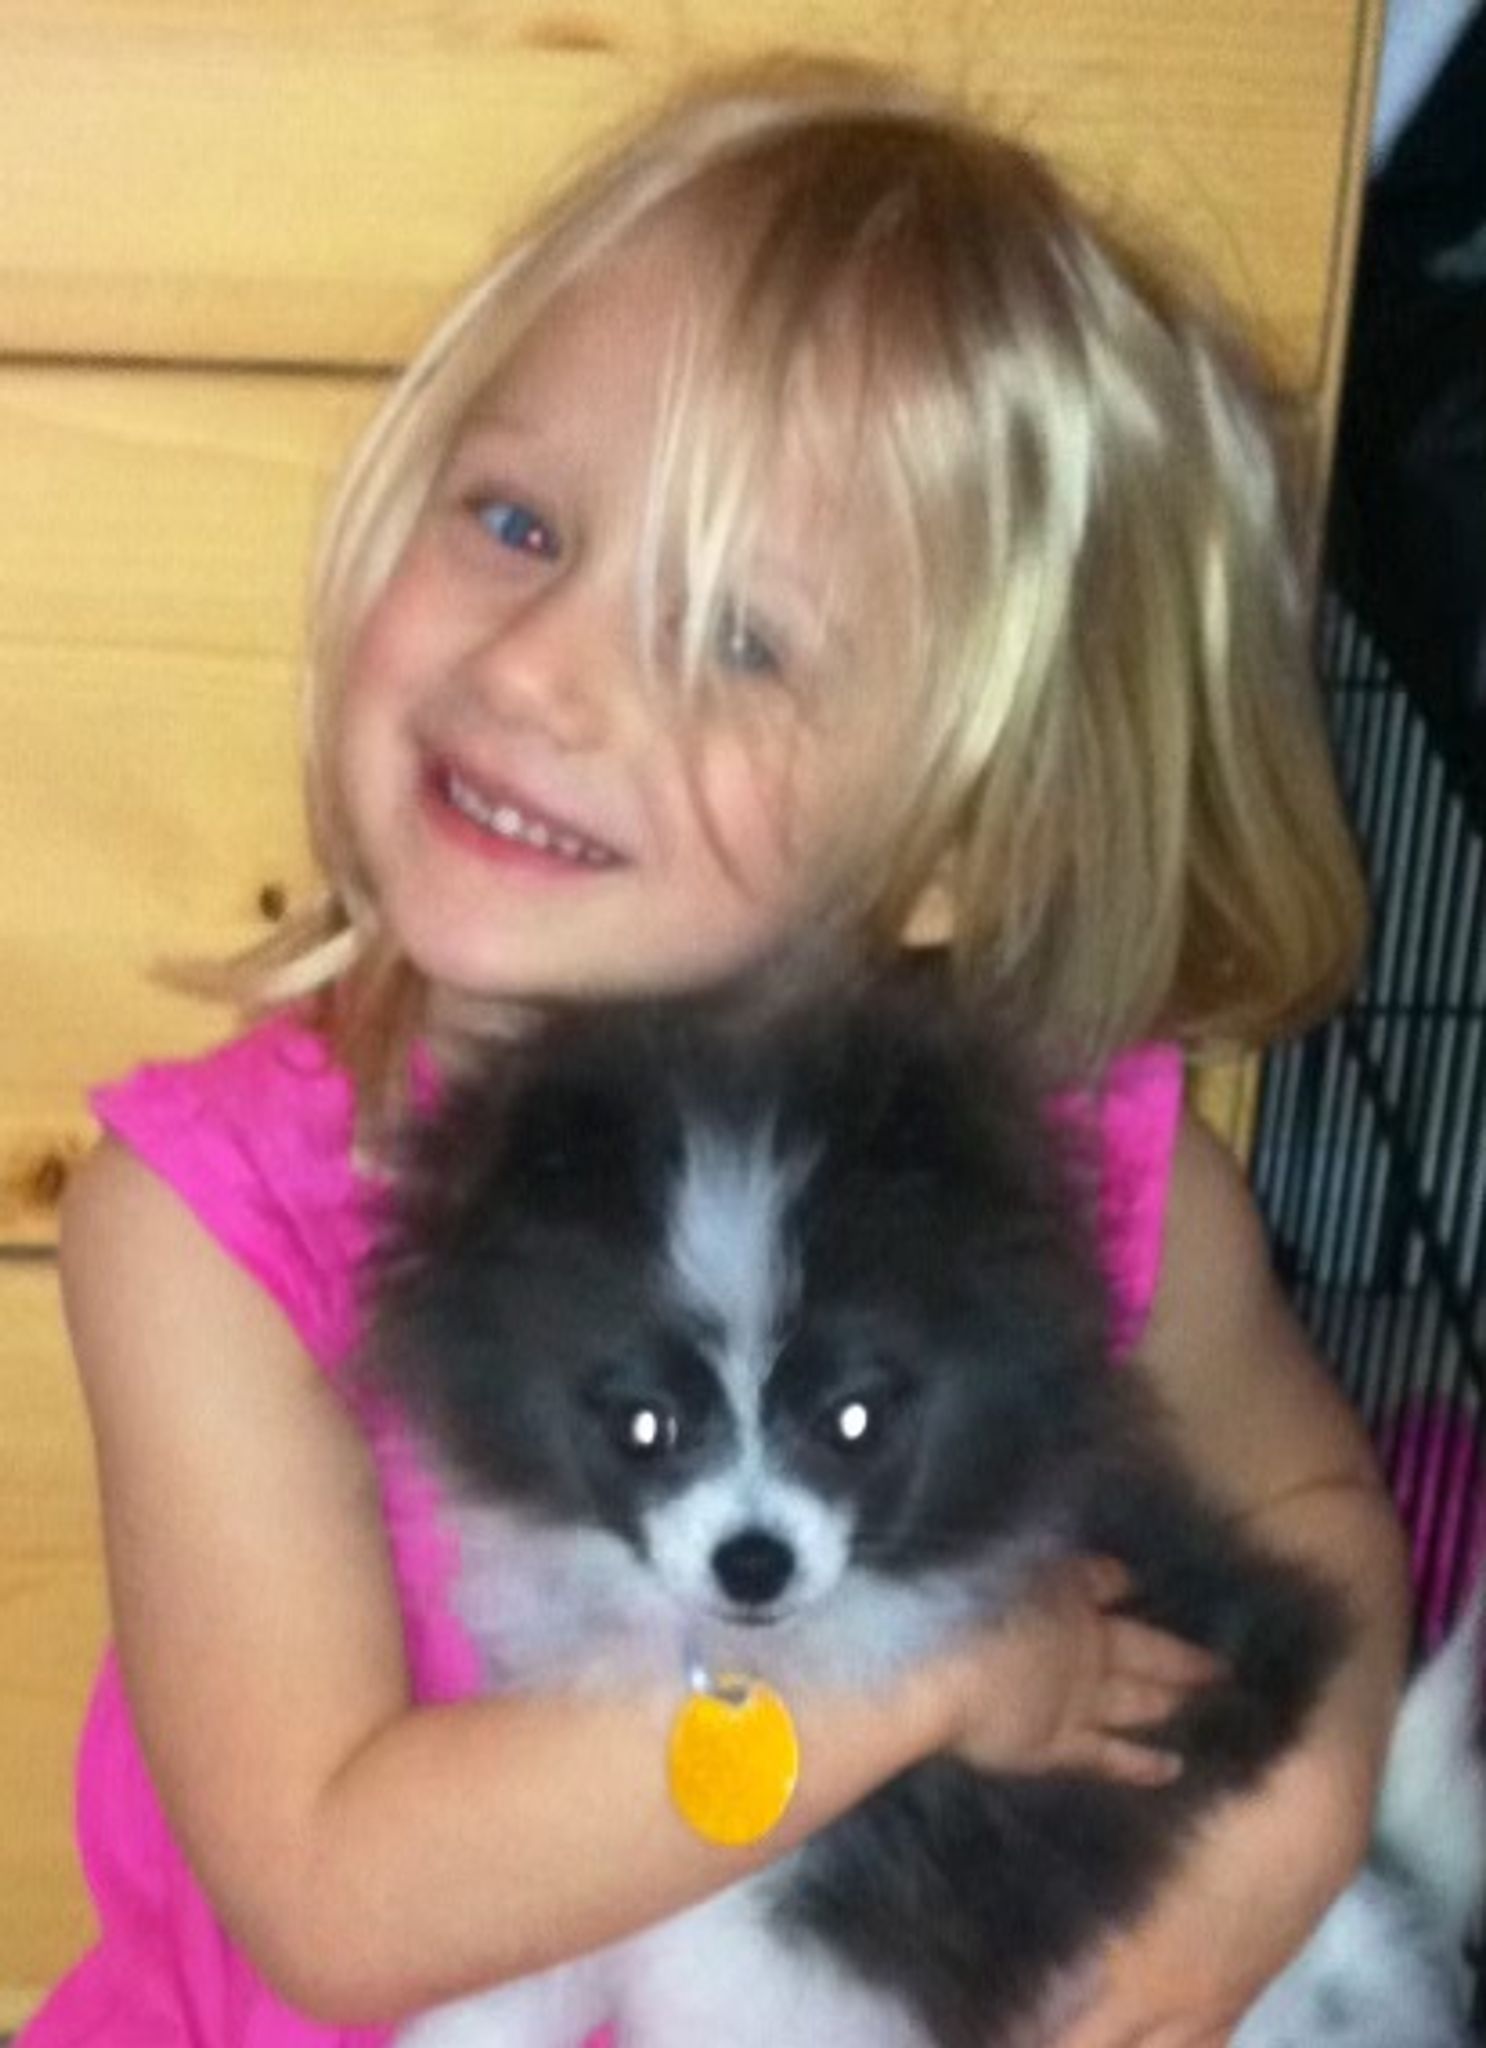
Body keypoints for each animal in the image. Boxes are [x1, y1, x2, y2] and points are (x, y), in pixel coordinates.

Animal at [363, 981, 1484, 2047]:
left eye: (852, 1418)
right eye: (647, 1425)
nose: (753, 1559)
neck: (767, 1665)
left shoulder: (821, 1938)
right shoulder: (616, 1874)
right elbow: (523, 1974)